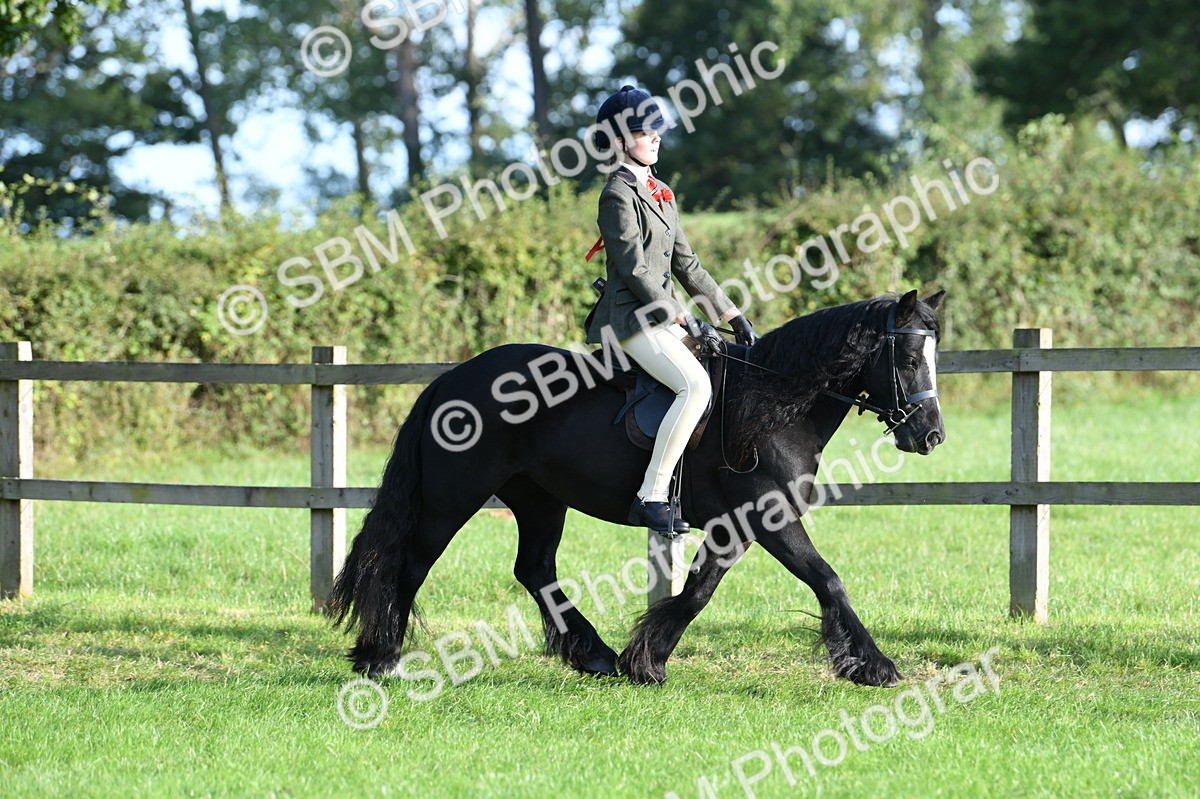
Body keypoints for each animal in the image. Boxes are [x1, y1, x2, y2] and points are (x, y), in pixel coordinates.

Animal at [328, 289, 946, 687]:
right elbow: (824, 579)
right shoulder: (765, 517)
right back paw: (381, 657)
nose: (931, 435)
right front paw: (875, 667)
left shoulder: (740, 527)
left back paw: (594, 656)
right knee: (410, 565)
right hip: (452, 498)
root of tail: (452, 379)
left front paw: (643, 659)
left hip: (539, 499)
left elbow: (699, 589)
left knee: (534, 571)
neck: (772, 406)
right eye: (909, 358)